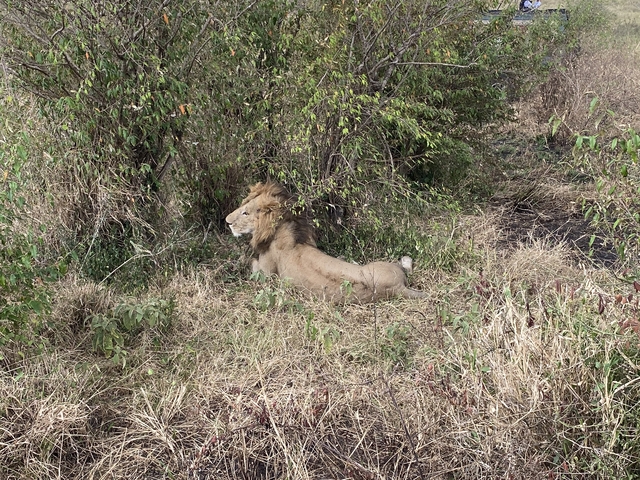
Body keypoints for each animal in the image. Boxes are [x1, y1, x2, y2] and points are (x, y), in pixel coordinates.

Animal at [225, 182, 426, 303]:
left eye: (245, 212)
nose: (227, 221)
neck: (286, 230)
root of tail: (398, 288)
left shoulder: (263, 274)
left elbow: (250, 262)